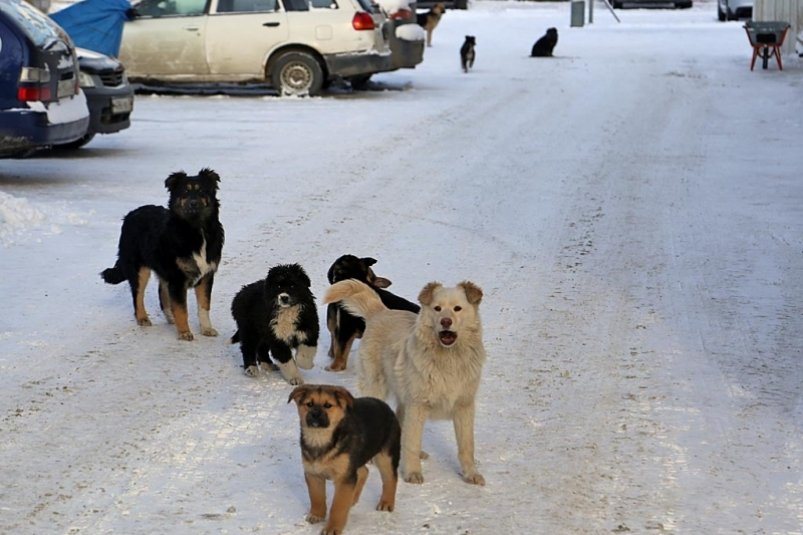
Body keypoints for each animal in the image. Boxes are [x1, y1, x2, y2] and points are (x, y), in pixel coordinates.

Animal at [103, 170, 226, 342]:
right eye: (185, 191)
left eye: (201, 191)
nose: (193, 203)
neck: (196, 229)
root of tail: (130, 214)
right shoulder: (177, 277)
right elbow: (182, 308)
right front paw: (184, 332)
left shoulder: (206, 275)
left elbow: (204, 306)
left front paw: (207, 329)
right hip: (140, 269)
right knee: (137, 295)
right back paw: (143, 318)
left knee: (162, 294)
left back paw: (171, 318)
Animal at [288, 386, 402, 535]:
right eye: (309, 404)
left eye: (328, 405)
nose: (315, 415)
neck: (320, 439)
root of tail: (385, 406)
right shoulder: (314, 474)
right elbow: (316, 497)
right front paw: (317, 515)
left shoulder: (344, 477)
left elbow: (338, 506)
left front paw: (332, 528)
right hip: (356, 458)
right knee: (364, 471)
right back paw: (353, 497)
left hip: (385, 456)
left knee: (391, 478)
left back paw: (386, 502)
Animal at [324, 280, 486, 486]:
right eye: (437, 308)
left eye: (457, 309)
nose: (445, 321)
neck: (448, 359)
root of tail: (381, 312)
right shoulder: (417, 405)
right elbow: (412, 443)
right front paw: (413, 473)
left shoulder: (464, 406)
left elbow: (467, 445)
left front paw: (471, 474)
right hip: (376, 387)